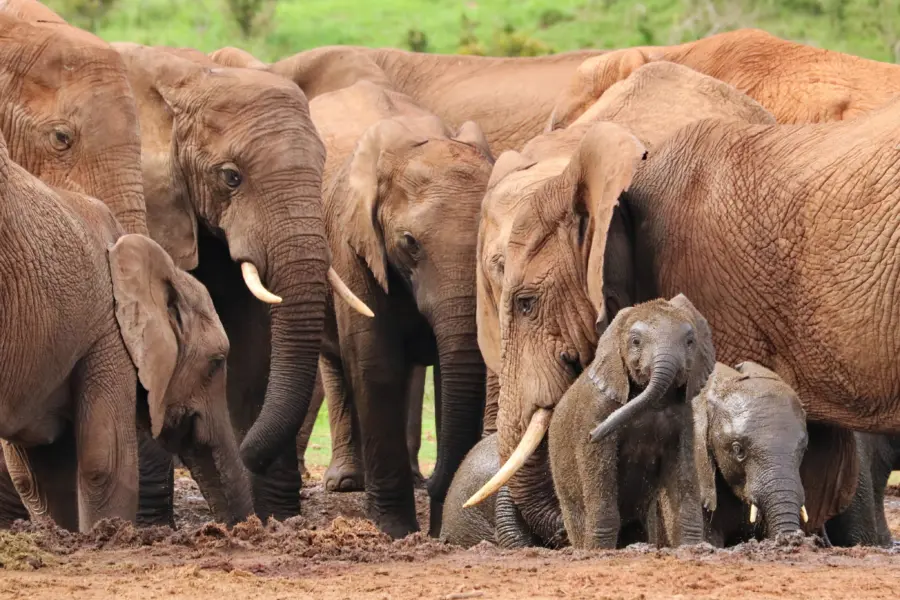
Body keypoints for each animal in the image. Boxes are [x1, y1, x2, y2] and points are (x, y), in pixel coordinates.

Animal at [111, 44, 371, 522]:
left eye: (322, 169)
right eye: (231, 177)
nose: (247, 450)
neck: (189, 76)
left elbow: (253, 345)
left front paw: (275, 518)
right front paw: (150, 525)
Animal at [298, 79, 493, 537]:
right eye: (410, 243)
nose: (438, 483)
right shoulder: (350, 243)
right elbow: (375, 362)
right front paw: (396, 530)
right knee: (337, 363)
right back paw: (347, 483)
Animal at [546, 295, 713, 549]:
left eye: (690, 342)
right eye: (635, 342)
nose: (593, 434)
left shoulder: (684, 420)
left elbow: (683, 478)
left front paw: (691, 547)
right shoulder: (596, 410)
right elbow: (600, 476)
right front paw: (599, 550)